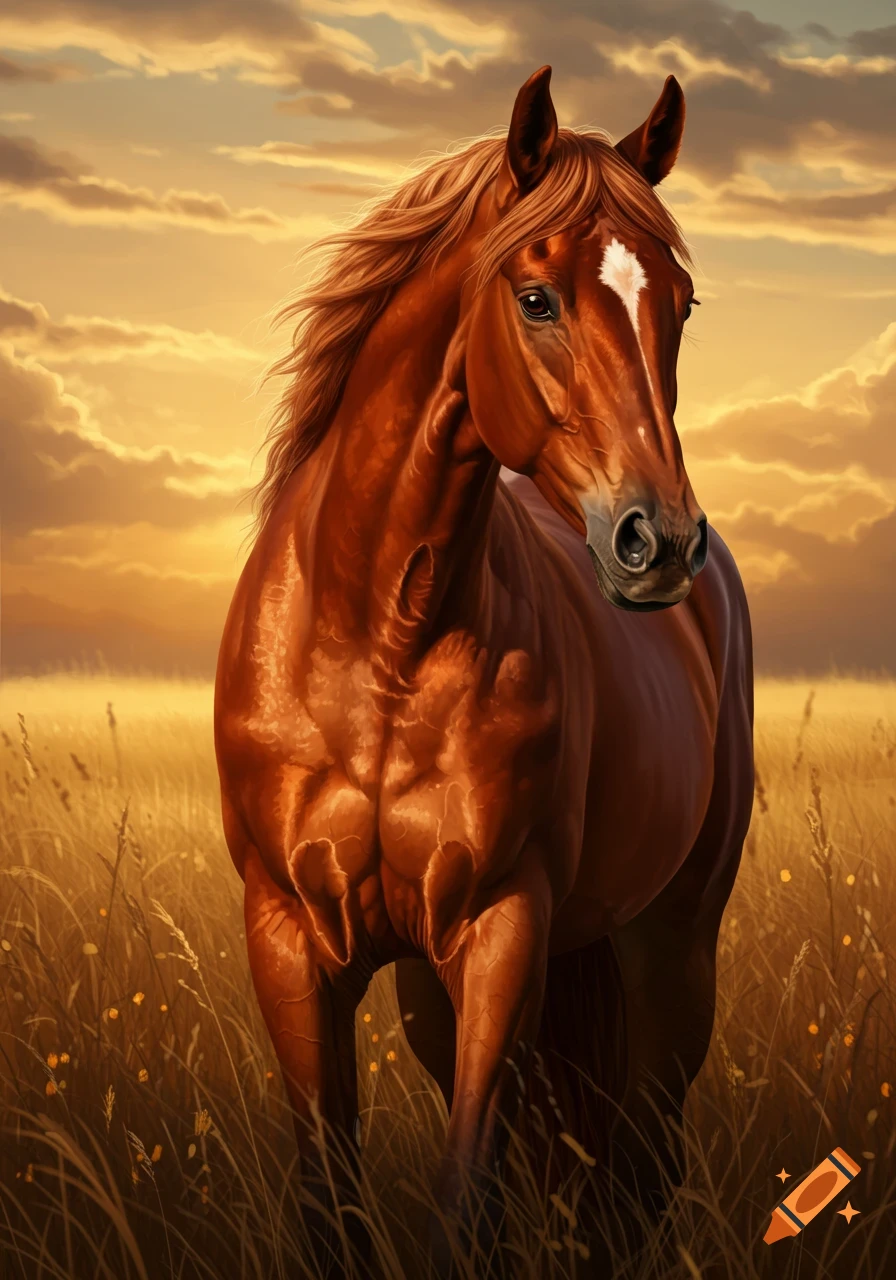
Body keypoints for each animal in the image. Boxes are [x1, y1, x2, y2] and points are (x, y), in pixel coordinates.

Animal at [214, 64, 754, 1266]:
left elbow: (465, 1202)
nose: (658, 540)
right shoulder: (291, 943)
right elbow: (335, 1204)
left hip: (670, 953)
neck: (377, 639)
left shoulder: (505, 931)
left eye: (683, 302)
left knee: (640, 1164)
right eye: (536, 297)